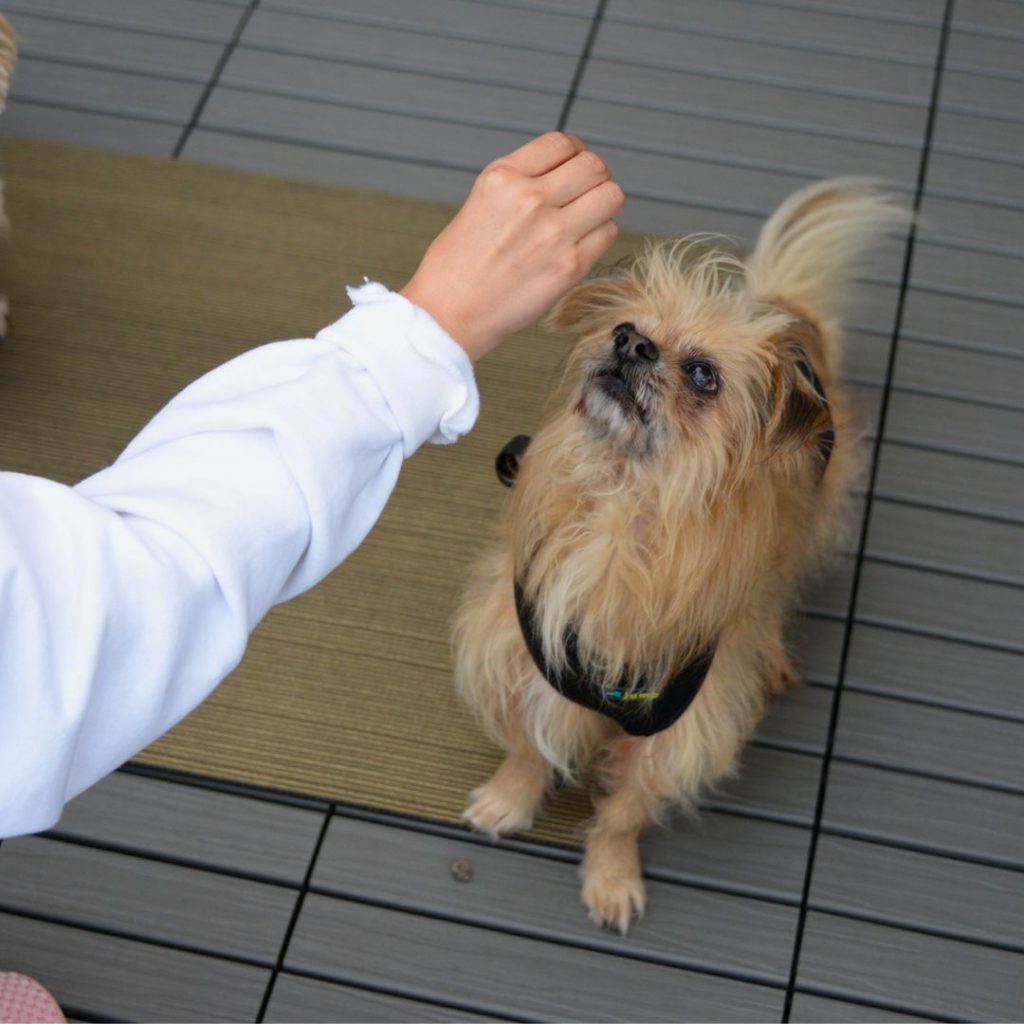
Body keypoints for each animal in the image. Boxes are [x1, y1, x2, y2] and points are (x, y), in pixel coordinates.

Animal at [452, 180, 909, 933]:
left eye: (702, 374)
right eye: (622, 329)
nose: (631, 343)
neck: (623, 499)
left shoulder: (678, 732)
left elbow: (624, 814)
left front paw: (610, 877)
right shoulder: (528, 660)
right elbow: (527, 749)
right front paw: (508, 801)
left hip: (805, 535)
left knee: (775, 596)